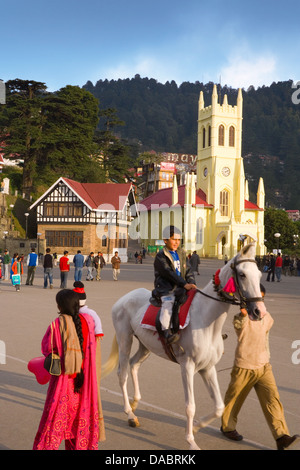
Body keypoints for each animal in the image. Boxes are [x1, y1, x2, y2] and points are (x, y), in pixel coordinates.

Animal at [102, 244, 266, 450]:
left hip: (146, 346)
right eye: (242, 274)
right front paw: (190, 440)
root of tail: (124, 298)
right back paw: (129, 413)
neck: (206, 320)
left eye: (259, 274)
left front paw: (196, 427)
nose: (259, 311)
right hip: (125, 339)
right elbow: (190, 406)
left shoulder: (208, 368)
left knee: (134, 365)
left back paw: (135, 403)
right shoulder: (187, 366)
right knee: (122, 373)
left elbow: (219, 407)